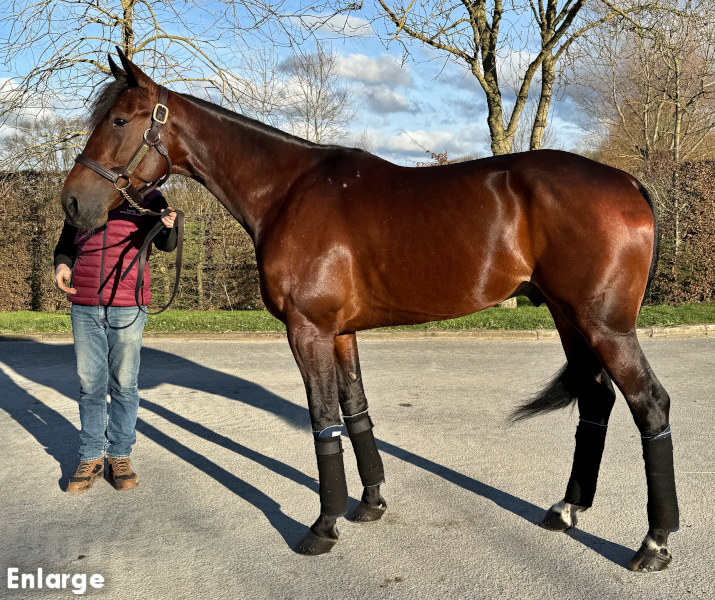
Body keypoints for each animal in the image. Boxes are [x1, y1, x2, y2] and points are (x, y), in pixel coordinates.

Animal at [61, 50, 679, 572]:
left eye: (120, 121)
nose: (72, 202)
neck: (287, 191)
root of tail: (628, 182)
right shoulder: (339, 333)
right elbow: (355, 411)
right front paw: (371, 502)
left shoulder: (307, 331)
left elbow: (322, 422)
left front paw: (323, 525)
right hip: (570, 318)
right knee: (596, 402)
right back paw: (568, 510)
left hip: (605, 326)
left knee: (650, 406)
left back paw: (654, 543)